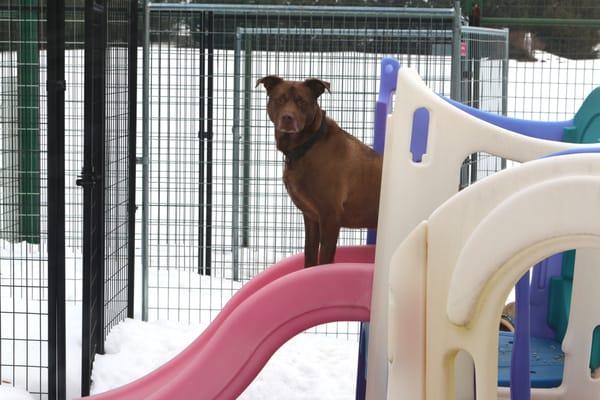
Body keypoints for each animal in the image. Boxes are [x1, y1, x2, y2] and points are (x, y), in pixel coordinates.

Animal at [256, 76, 380, 268]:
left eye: (301, 101)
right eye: (280, 99)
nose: (287, 118)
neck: (308, 145)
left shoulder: (330, 216)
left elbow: (324, 260)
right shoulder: (311, 217)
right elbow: (310, 253)